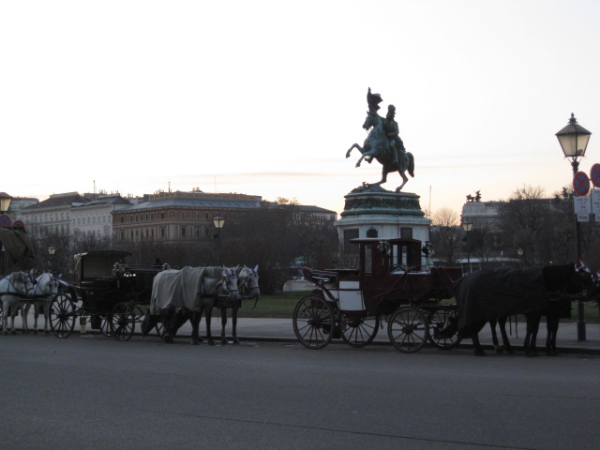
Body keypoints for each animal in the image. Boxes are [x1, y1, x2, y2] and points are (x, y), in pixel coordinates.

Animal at [454, 264, 592, 356]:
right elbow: (533, 329)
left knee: (497, 324)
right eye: (580, 278)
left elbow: (543, 329)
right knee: (475, 327)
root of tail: (465, 279)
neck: (545, 284)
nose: (588, 293)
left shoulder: (545, 313)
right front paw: (532, 349)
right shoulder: (539, 313)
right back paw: (480, 348)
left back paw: (503, 347)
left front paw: (542, 348)